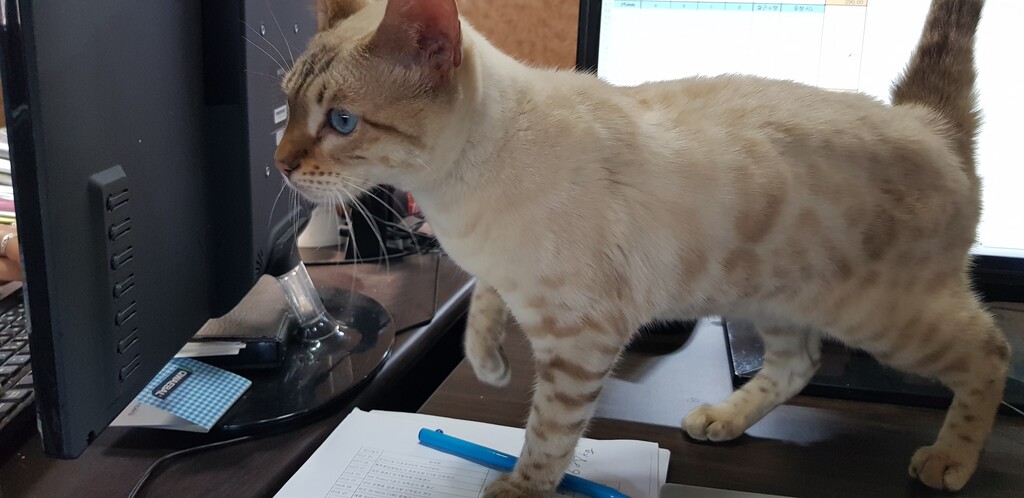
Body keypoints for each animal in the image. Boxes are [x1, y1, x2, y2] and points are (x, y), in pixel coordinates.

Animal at [275, 0, 1009, 495]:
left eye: (341, 121)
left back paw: (950, 460)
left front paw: (518, 489)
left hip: (880, 316)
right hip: (770, 296)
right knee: (799, 363)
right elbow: (481, 307)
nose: (279, 165)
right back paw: (722, 418)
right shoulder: (501, 279)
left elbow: (548, 436)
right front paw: (489, 366)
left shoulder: (581, 338)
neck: (451, 203)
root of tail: (924, 118)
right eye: (285, 109)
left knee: (990, 350)